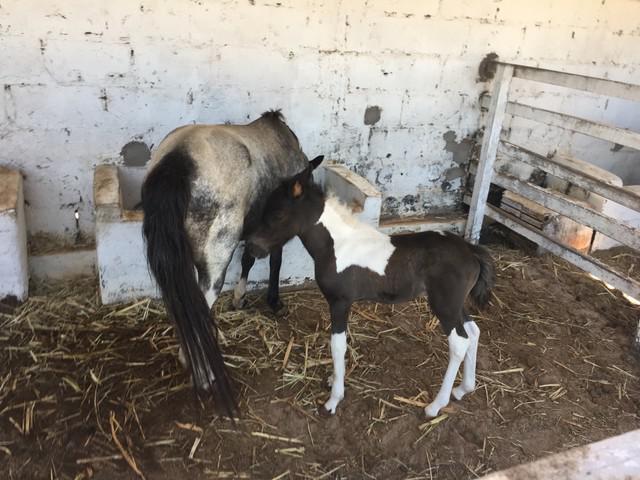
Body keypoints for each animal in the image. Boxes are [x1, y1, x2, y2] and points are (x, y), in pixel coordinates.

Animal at [249, 165, 496, 416]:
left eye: (278, 214)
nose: (252, 247)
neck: (337, 245)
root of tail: (471, 250)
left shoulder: (340, 301)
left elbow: (337, 345)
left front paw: (334, 399)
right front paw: (332, 380)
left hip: (444, 305)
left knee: (459, 342)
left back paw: (436, 405)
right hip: (455, 304)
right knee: (473, 331)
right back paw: (463, 389)